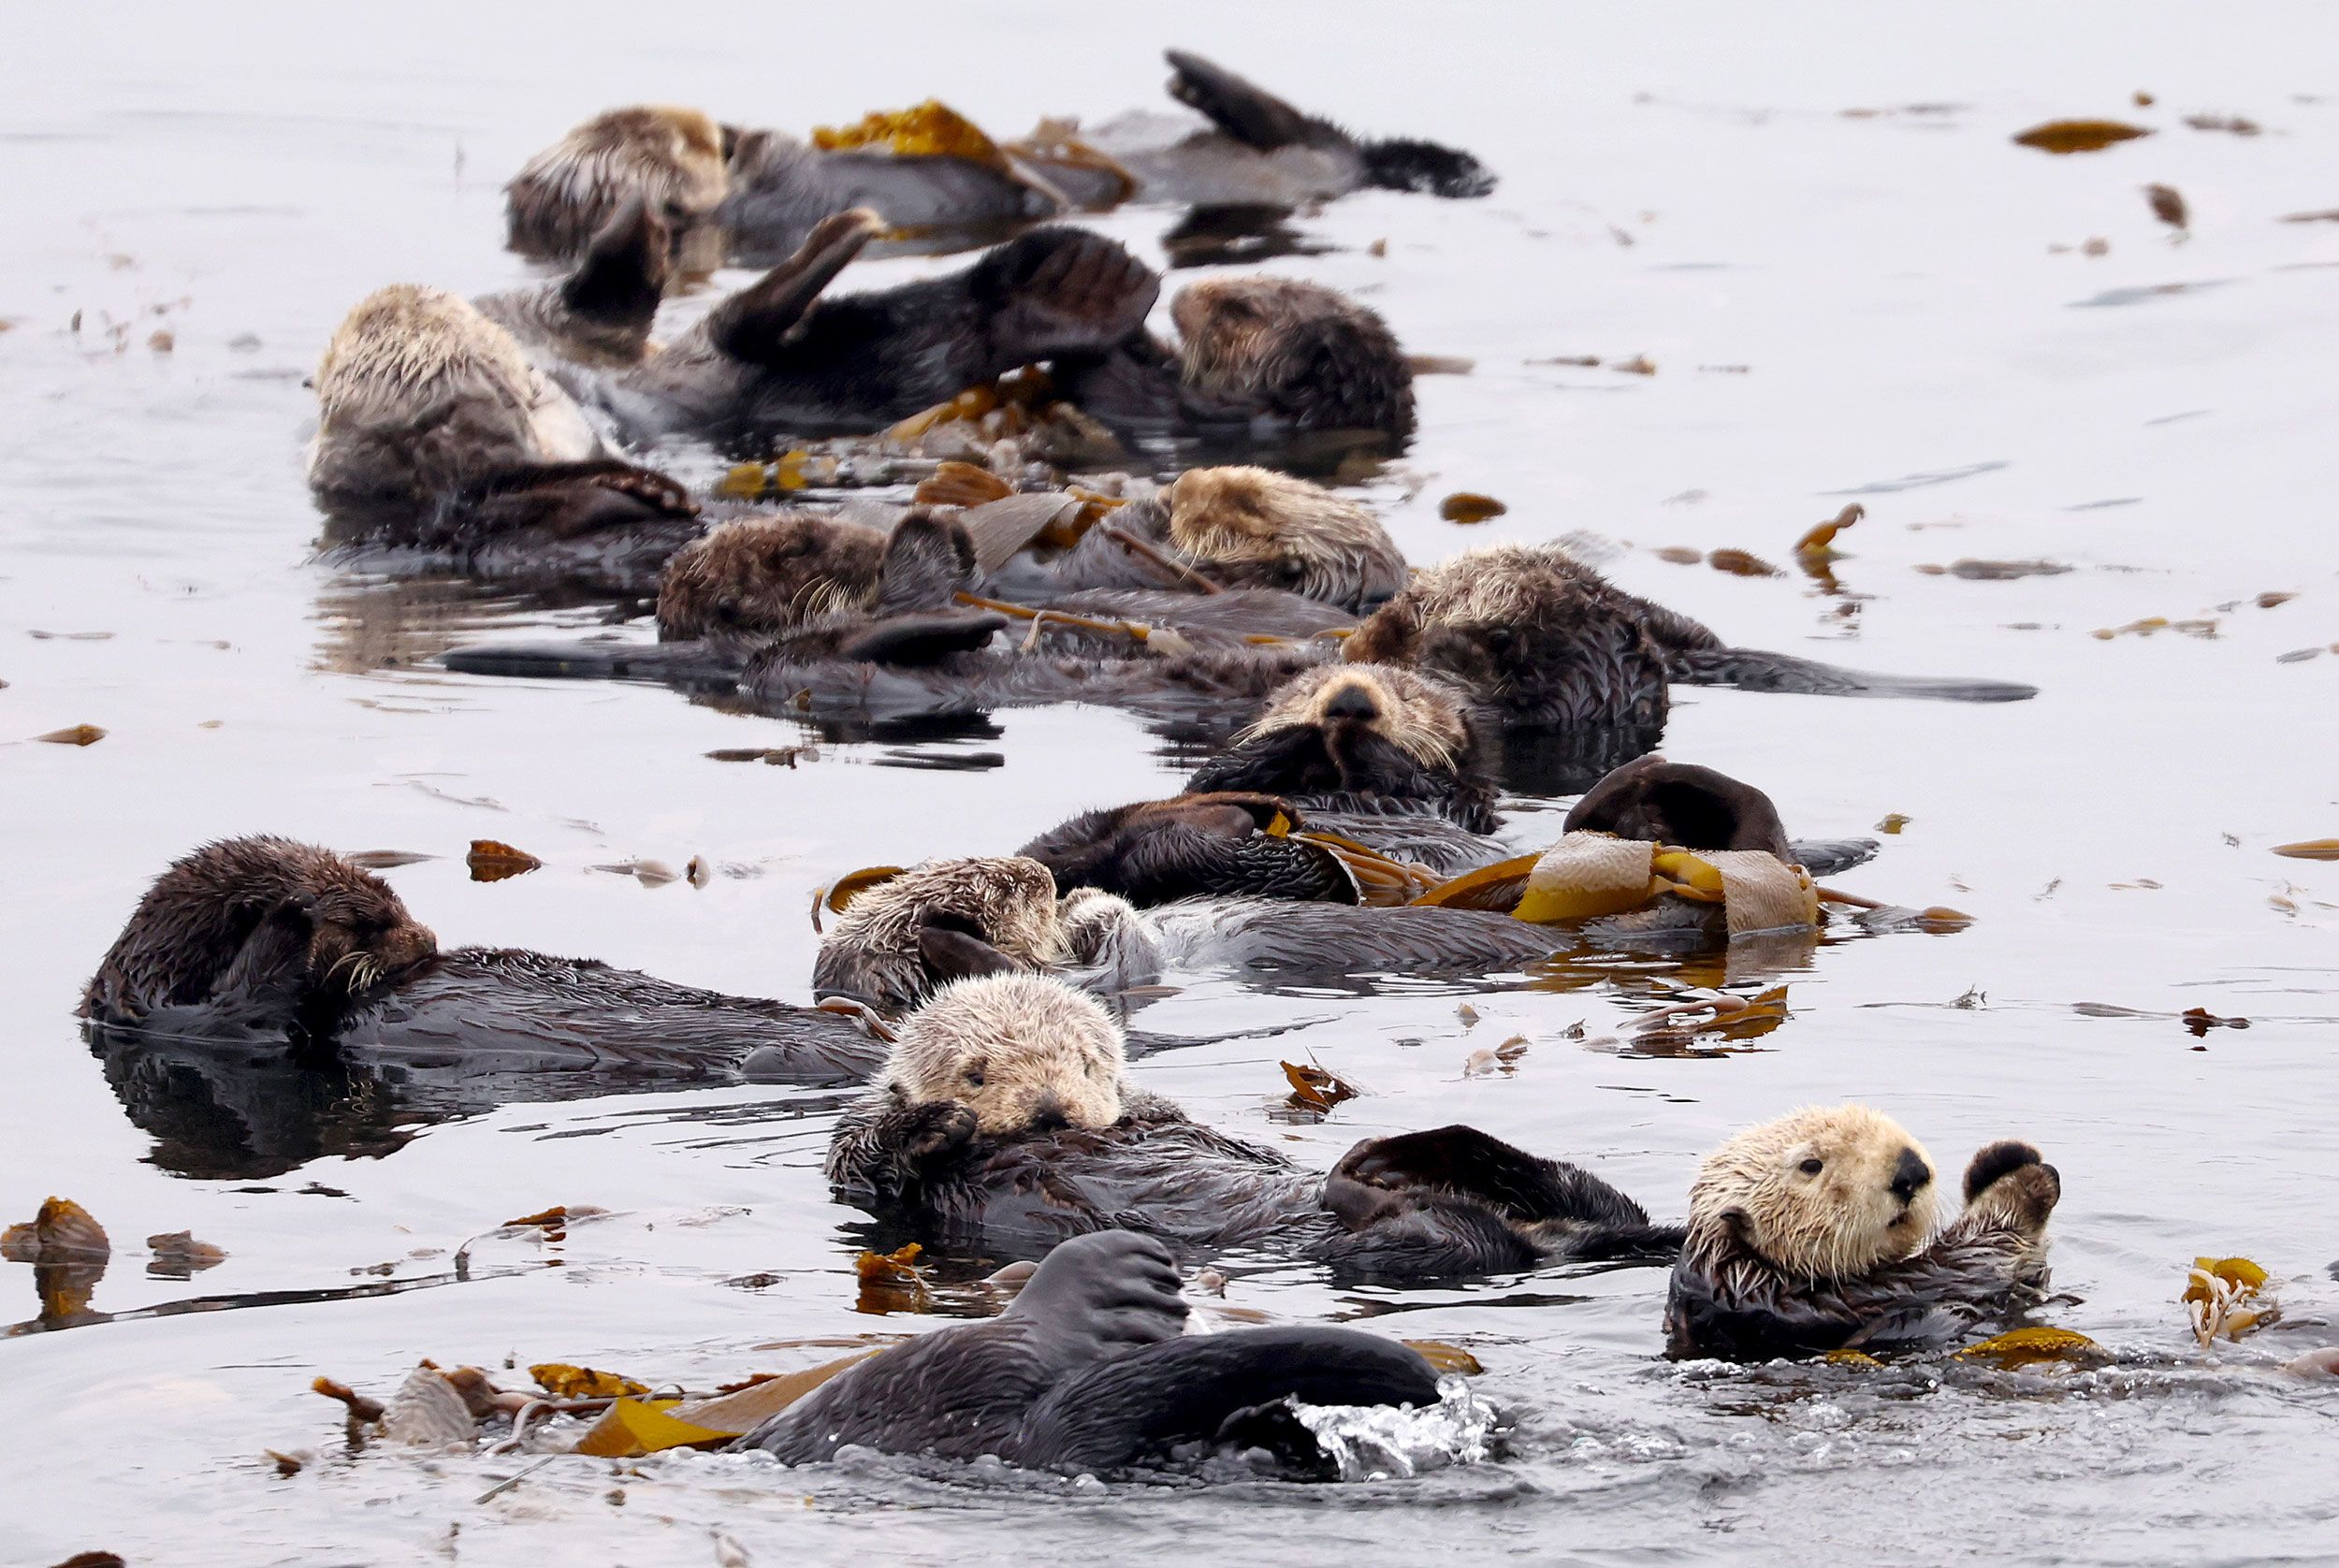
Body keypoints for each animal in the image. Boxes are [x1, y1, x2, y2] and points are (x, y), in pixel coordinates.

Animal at [82, 833, 879, 1095]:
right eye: (370, 922)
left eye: (394, 899)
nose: (426, 942)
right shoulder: (191, 1023)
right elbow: (260, 1004)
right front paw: (298, 911)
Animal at [823, 968, 1684, 1272]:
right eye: (977, 1073)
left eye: (1085, 1065)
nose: (1051, 1109)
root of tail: (1548, 1241)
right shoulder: (862, 1168)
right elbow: (867, 1156)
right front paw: (939, 1121)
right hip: (1403, 1244)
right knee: (1436, 1230)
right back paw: (1379, 1167)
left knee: (1590, 1198)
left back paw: (1416, 1151)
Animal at [1665, 1104, 2068, 1366]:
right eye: (1810, 1165)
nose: (1910, 1171)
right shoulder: (1822, 1303)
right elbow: (1971, 1257)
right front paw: (2026, 1185)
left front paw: (2004, 1156)